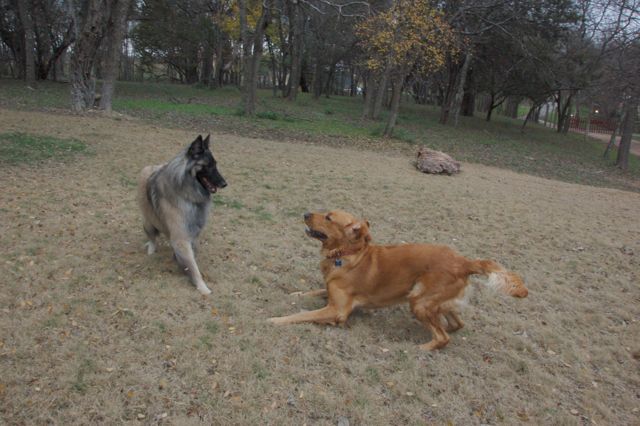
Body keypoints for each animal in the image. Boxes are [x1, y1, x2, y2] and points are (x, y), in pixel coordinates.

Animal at [138, 135, 228, 294]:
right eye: (208, 165)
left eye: (215, 164)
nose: (224, 184)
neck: (187, 193)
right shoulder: (181, 237)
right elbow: (193, 266)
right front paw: (202, 287)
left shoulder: (191, 233)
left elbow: (192, 257)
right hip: (148, 221)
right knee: (152, 238)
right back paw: (151, 249)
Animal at [268, 210, 528, 350]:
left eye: (329, 217)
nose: (305, 213)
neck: (348, 254)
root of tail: (464, 261)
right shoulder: (330, 293)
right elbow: (309, 292)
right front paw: (293, 294)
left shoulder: (337, 310)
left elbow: (301, 315)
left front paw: (275, 319)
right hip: (435, 301)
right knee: (456, 324)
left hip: (419, 301)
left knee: (442, 337)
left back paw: (421, 348)